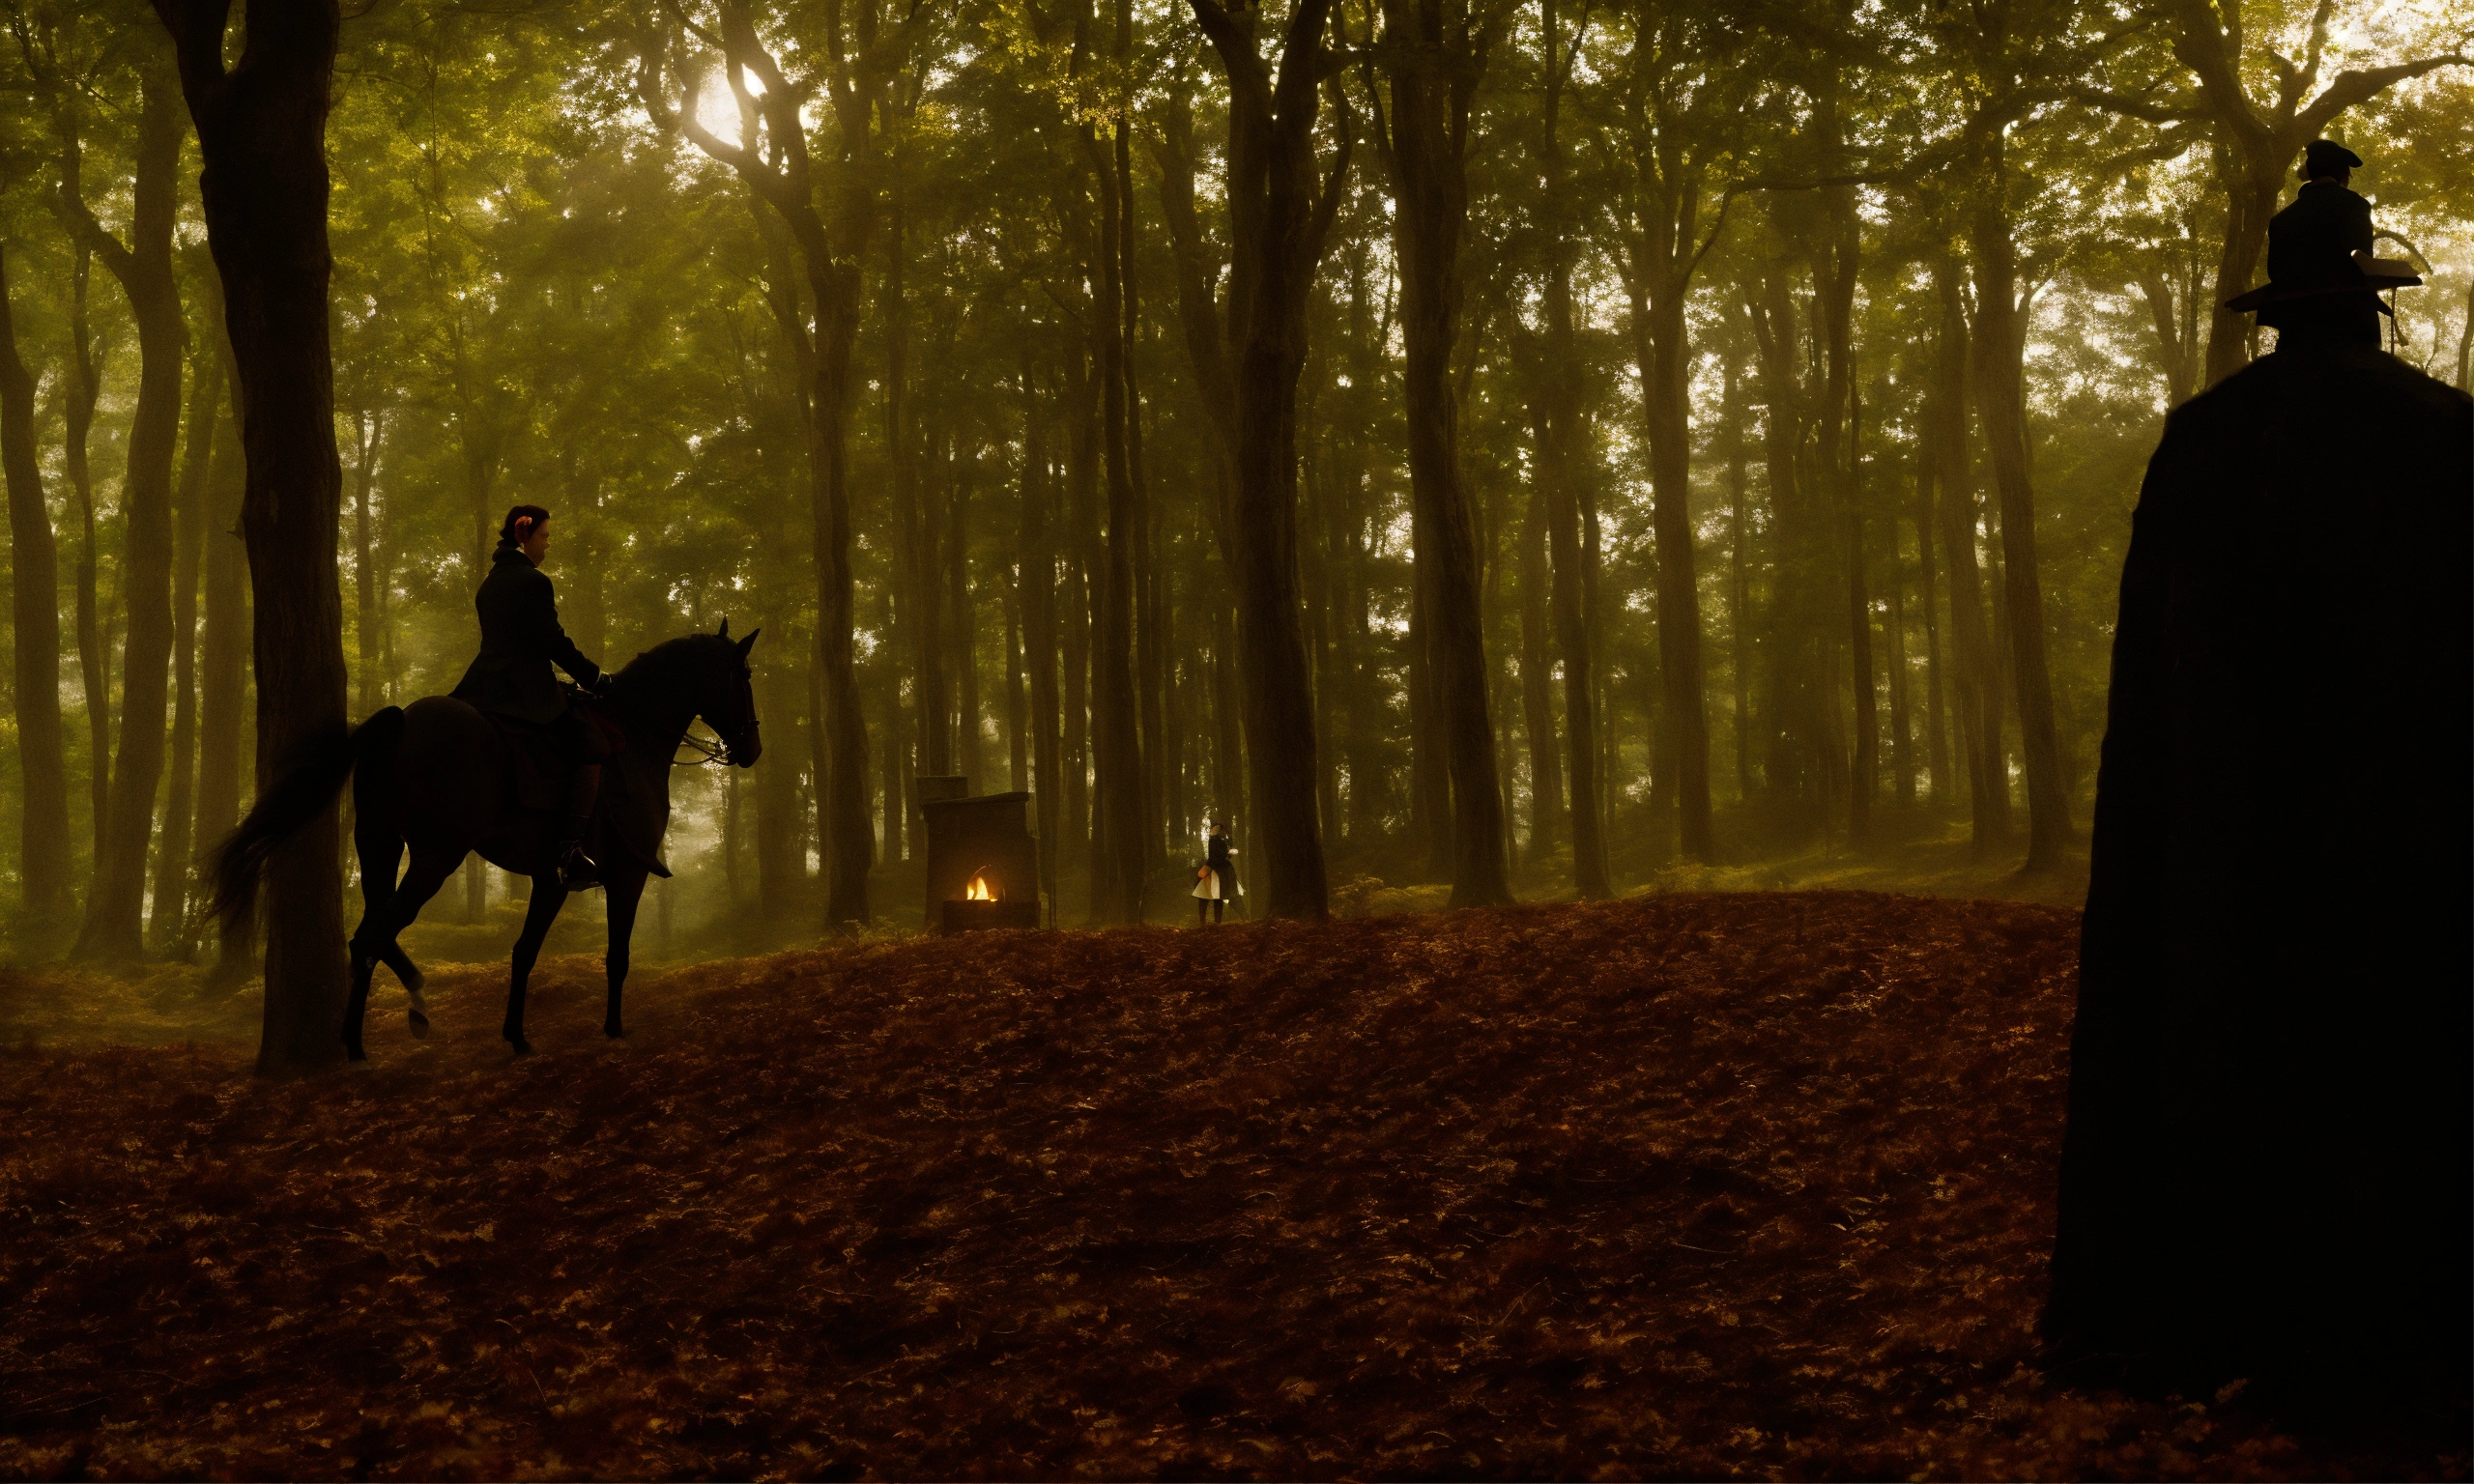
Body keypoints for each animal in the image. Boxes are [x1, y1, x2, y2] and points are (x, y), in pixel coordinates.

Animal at [209, 621, 763, 1061]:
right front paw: (614, 1029)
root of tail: (402, 719)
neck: (634, 736)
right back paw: (372, 1033)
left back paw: (387, 1021)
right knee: (375, 934)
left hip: (380, 848)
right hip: (436, 855)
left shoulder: (550, 880)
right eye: (744, 677)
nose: (752, 749)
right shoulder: (626, 877)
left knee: (370, 933)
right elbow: (617, 956)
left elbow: (524, 952)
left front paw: (516, 1036)